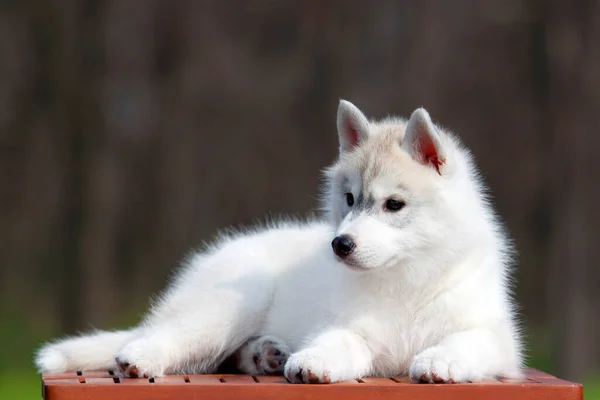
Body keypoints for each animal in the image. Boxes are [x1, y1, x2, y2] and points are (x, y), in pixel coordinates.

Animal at [35, 101, 524, 384]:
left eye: (394, 204)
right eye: (350, 199)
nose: (340, 245)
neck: (406, 280)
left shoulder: (497, 338)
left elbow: (468, 342)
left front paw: (441, 361)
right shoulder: (349, 328)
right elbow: (338, 343)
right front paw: (315, 361)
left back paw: (264, 355)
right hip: (228, 306)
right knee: (172, 338)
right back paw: (139, 358)